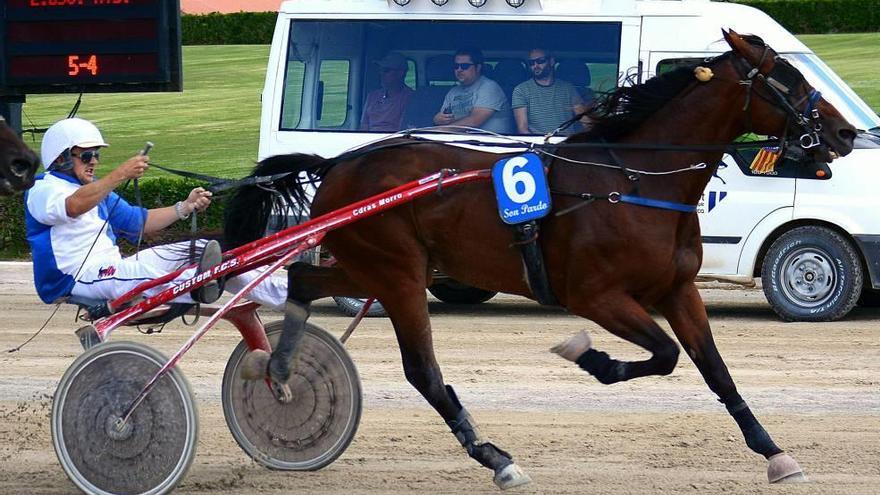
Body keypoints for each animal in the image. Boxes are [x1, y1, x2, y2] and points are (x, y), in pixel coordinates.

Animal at [223, 32, 856, 492]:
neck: (634, 183)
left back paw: (279, 369)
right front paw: (590, 357)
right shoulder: (595, 296)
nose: (848, 131)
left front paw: (775, 452)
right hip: (397, 273)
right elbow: (664, 354)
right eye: (788, 81)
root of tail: (336, 166)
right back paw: (495, 457)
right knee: (421, 370)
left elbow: (713, 368)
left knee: (303, 279)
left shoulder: (678, 289)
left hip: (372, 264)